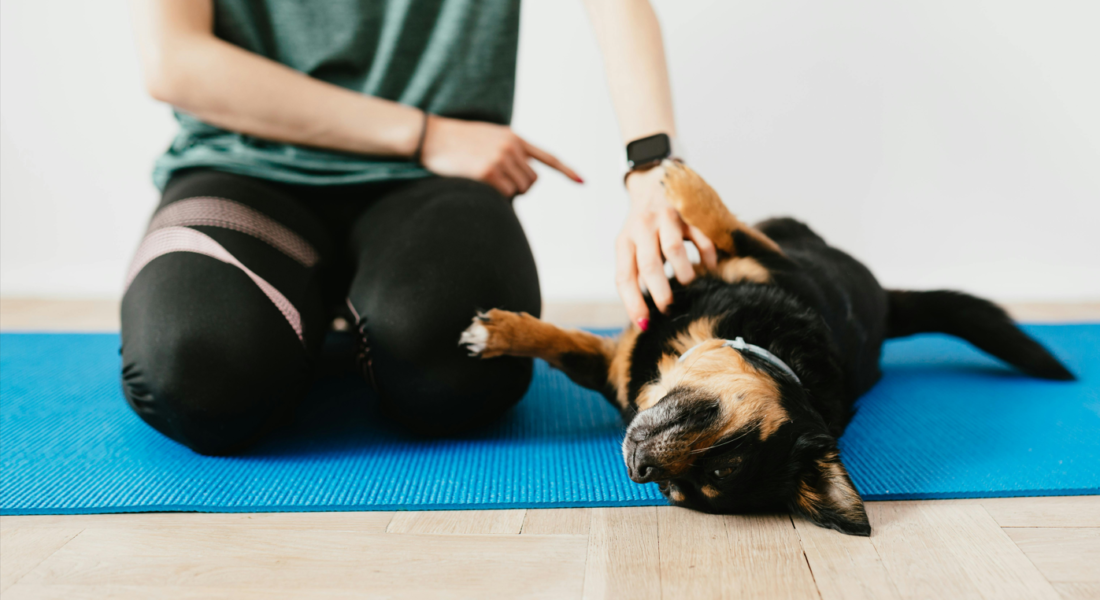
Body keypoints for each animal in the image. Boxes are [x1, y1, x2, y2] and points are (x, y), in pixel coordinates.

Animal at [457, 161, 1073, 535]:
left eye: (707, 476)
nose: (638, 467)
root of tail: (886, 304)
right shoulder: (757, 268)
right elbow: (562, 343)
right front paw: (500, 333)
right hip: (786, 233)